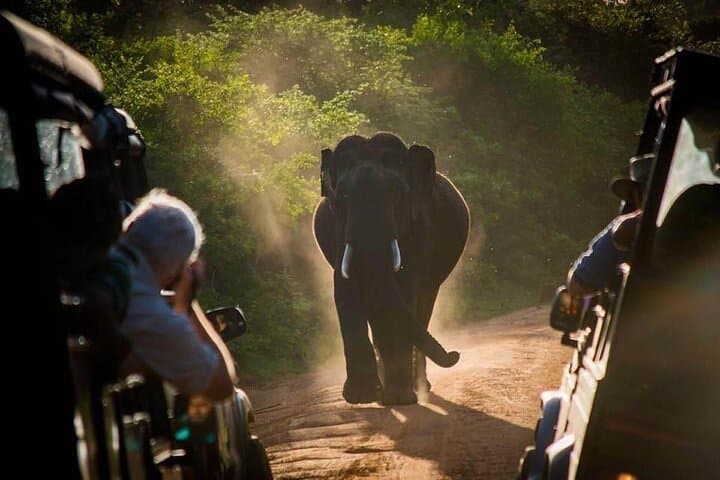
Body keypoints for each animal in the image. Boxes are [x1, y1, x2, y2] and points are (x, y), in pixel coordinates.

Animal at [313, 132, 470, 405]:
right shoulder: (338, 231)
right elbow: (344, 290)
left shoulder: (420, 228)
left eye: (397, 194)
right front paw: (360, 398)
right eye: (343, 197)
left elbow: (405, 288)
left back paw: (416, 388)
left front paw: (398, 399)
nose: (455, 354)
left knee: (423, 305)